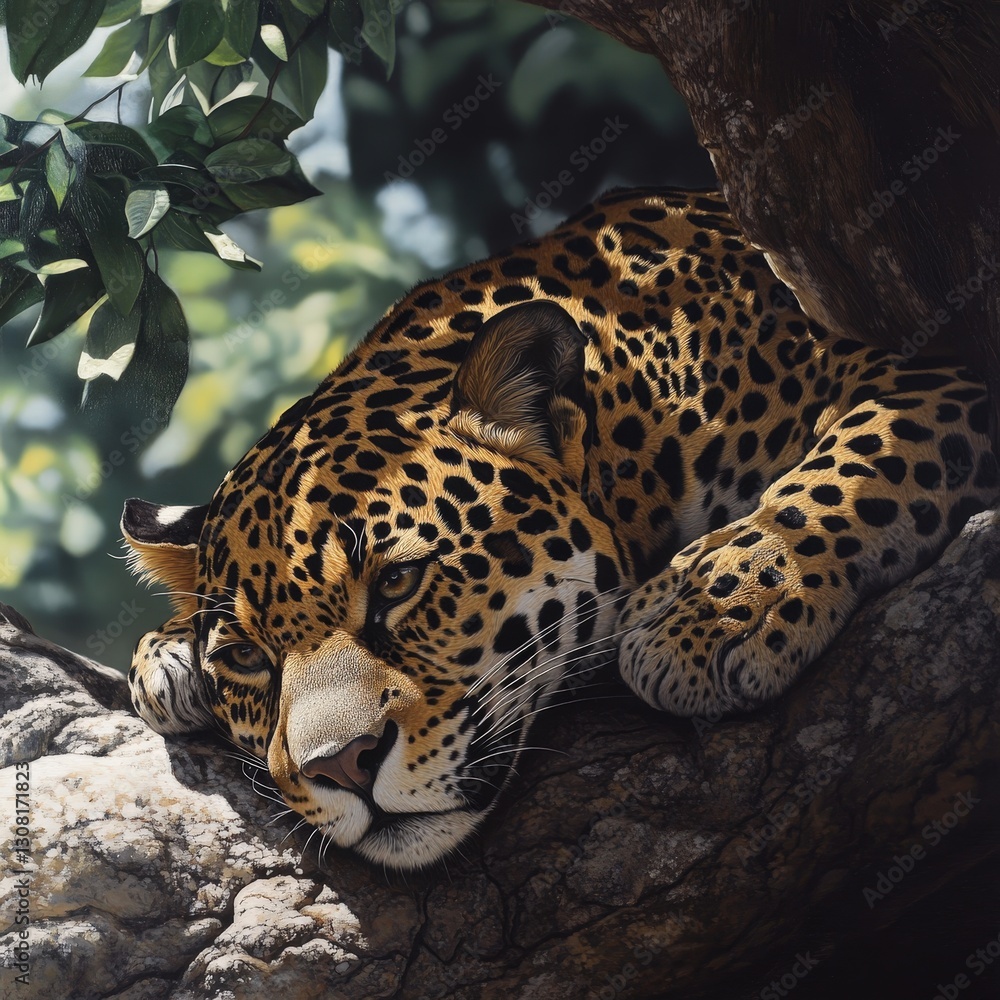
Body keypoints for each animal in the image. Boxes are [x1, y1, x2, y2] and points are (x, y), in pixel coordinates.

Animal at [121, 187, 998, 869]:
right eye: (245, 659)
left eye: (399, 582)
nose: (342, 767)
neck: (634, 434)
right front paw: (164, 657)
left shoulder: (923, 378)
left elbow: (857, 452)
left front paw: (708, 612)